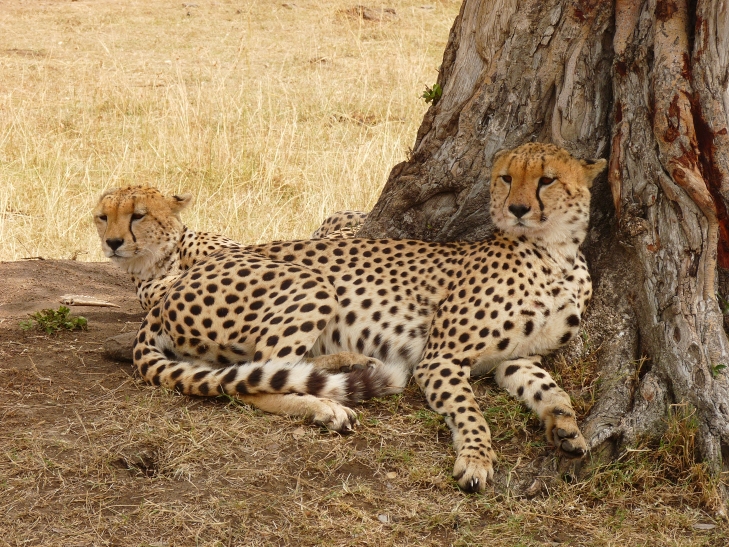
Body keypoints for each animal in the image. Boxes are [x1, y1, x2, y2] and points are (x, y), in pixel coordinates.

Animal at [93, 142, 606, 492]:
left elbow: (551, 392)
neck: (555, 253)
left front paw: (567, 429)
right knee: (253, 381)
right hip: (311, 284)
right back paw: (328, 406)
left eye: (546, 179)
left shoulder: (517, 359)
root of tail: (165, 297)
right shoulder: (439, 360)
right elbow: (470, 410)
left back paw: (348, 365)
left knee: (257, 368)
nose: (517, 208)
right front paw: (477, 459)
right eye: (505, 177)